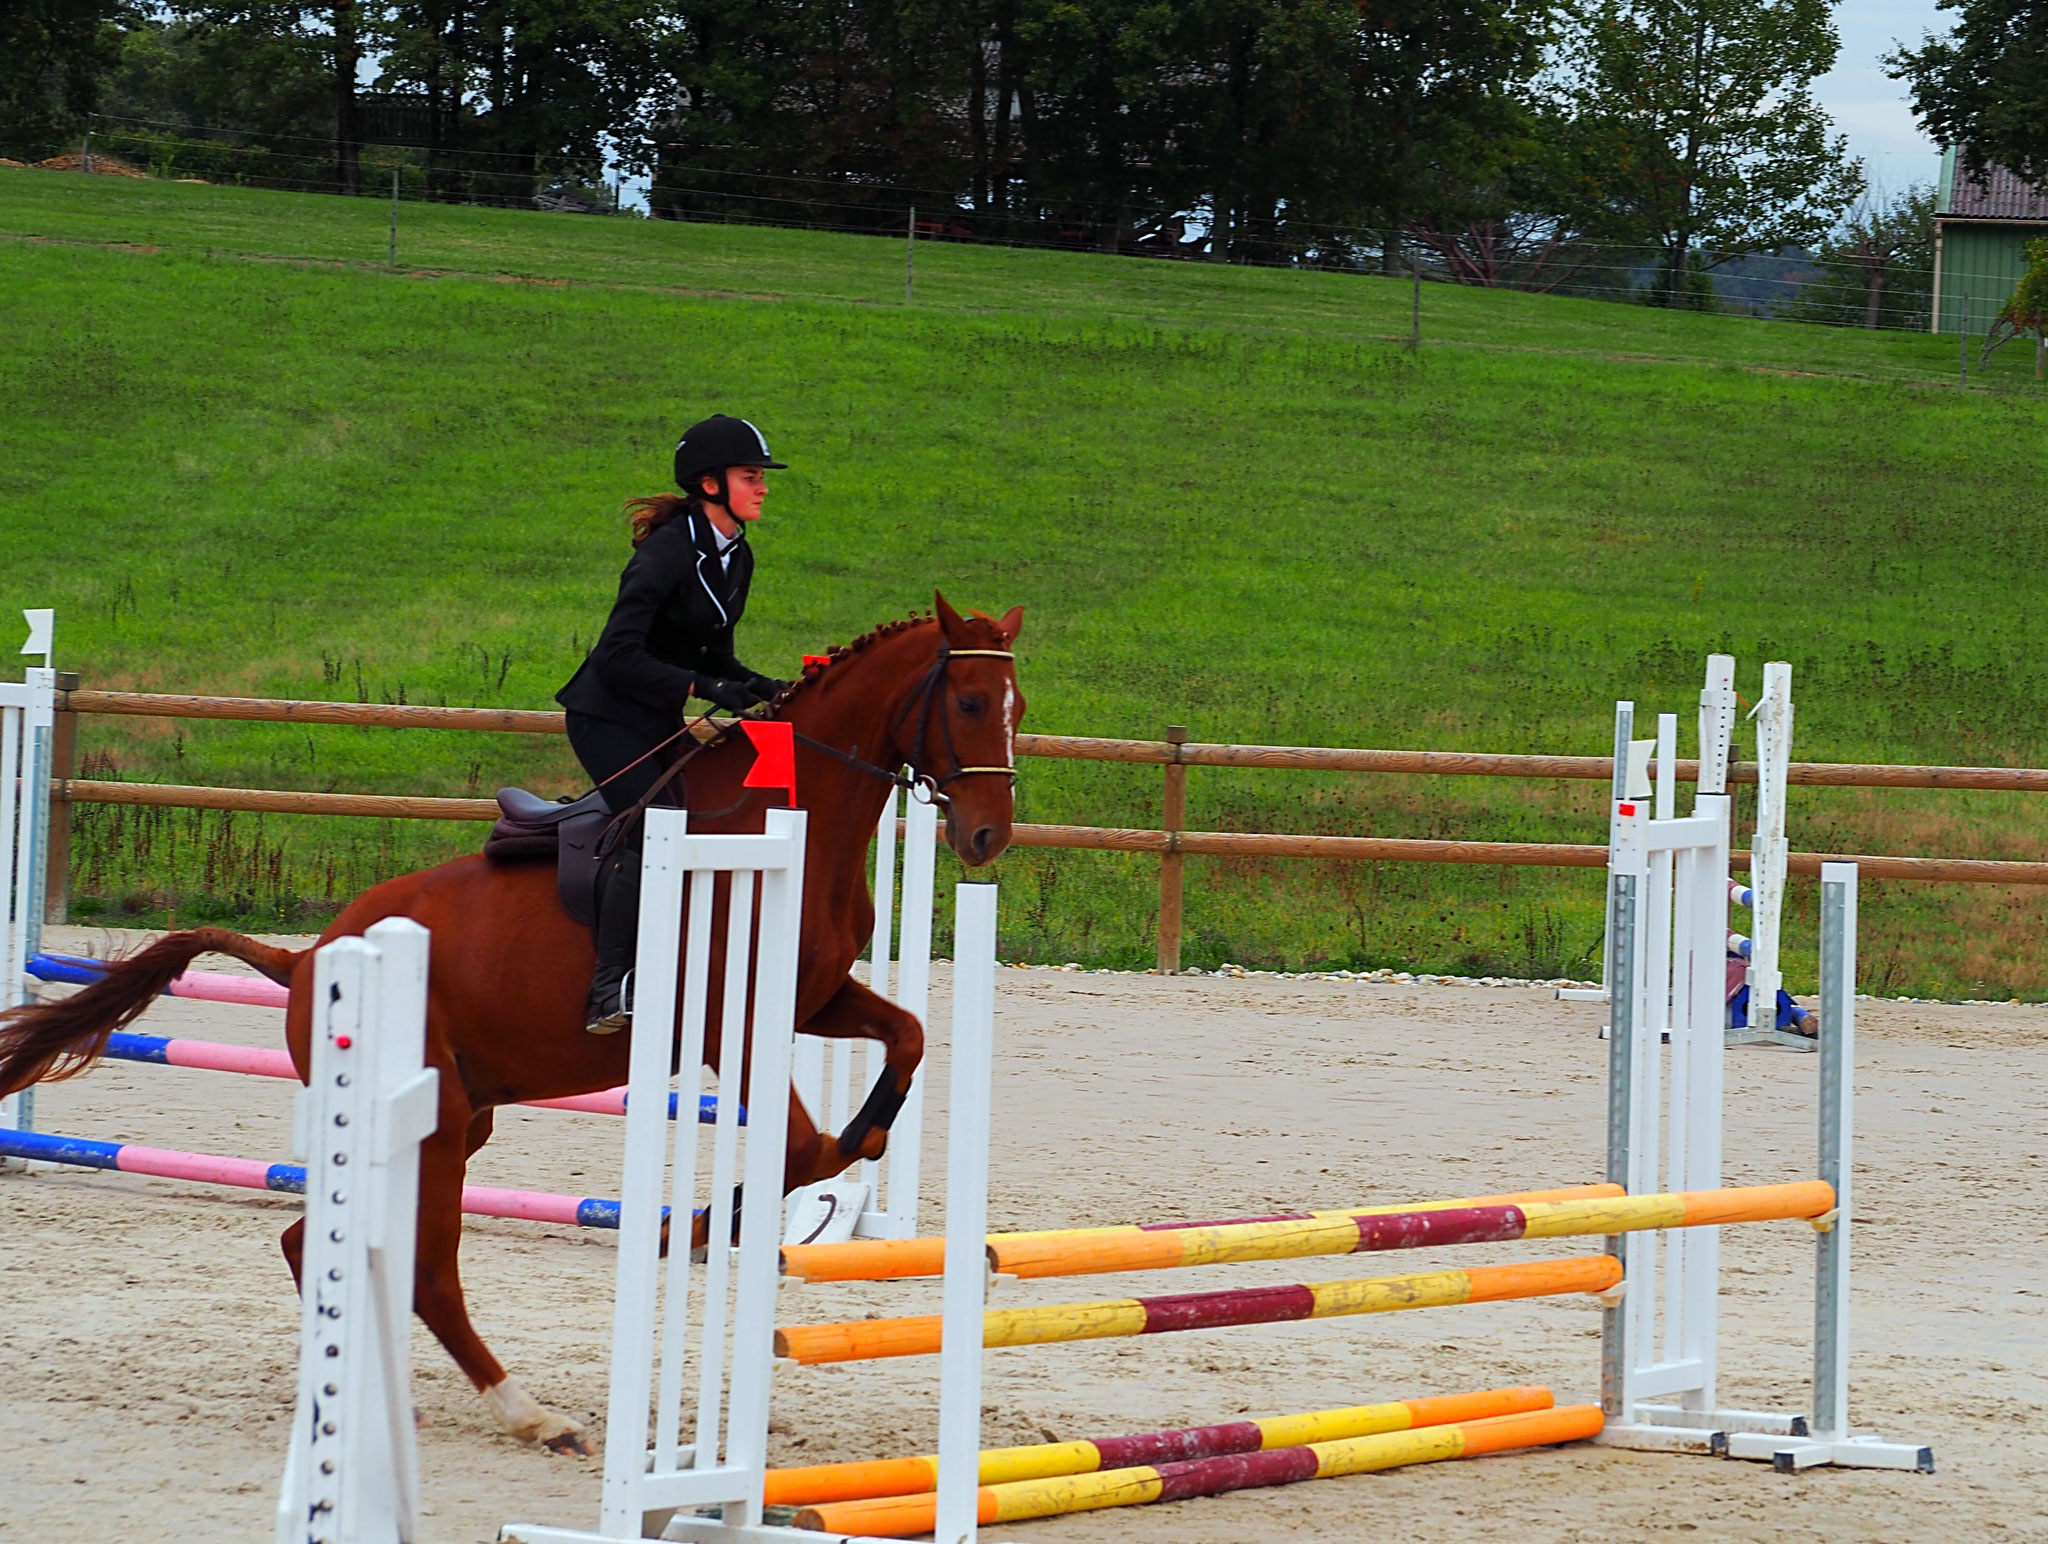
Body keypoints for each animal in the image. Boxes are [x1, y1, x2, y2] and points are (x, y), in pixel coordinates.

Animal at [0, 593, 1024, 1457]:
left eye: (1018, 704)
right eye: (971, 700)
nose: (986, 839)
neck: (790, 819)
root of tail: (309, 959)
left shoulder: (815, 997)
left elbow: (900, 1050)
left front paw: (853, 1144)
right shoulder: (725, 1024)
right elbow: (805, 1149)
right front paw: (699, 1224)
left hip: (457, 1119)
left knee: (318, 1243)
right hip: (444, 1125)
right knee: (427, 1274)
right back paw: (529, 1414)